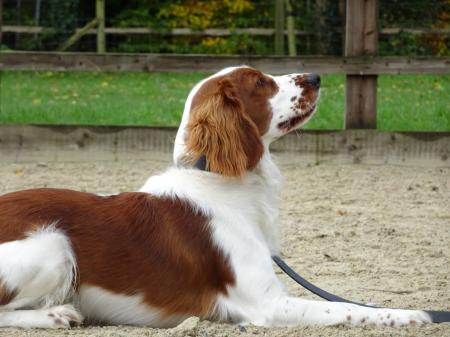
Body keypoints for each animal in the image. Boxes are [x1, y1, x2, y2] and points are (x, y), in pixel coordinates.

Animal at [0, 66, 430, 328]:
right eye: (260, 83)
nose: (316, 75)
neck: (226, 183)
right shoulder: (265, 305)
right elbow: (347, 308)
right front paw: (413, 314)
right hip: (55, 245)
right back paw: (54, 315)